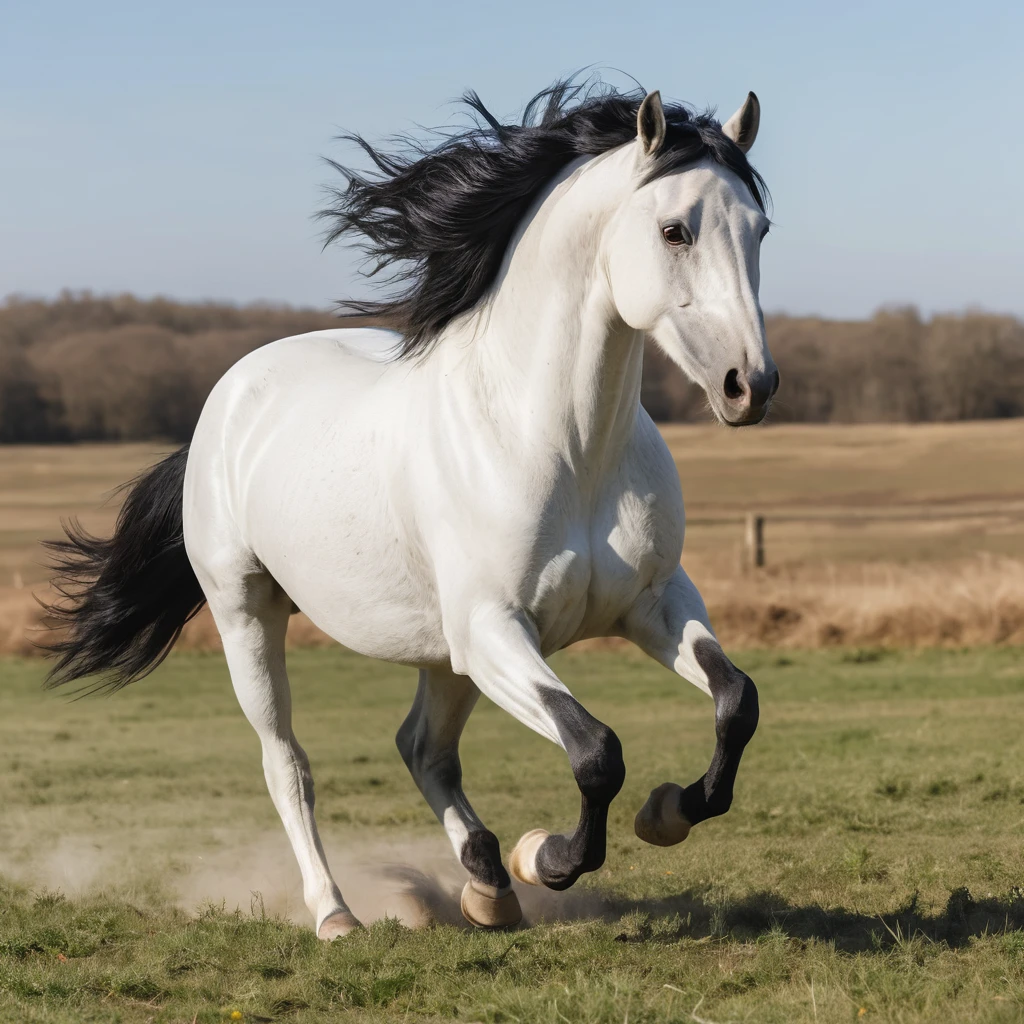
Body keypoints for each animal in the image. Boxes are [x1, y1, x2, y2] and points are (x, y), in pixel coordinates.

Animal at [44, 80, 777, 939]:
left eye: (760, 228)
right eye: (673, 230)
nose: (749, 385)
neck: (564, 446)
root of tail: (229, 396)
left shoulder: (654, 604)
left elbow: (735, 702)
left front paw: (665, 813)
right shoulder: (495, 630)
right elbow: (597, 751)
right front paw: (548, 857)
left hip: (442, 652)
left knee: (421, 747)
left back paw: (486, 885)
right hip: (249, 614)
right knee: (288, 764)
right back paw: (339, 914)